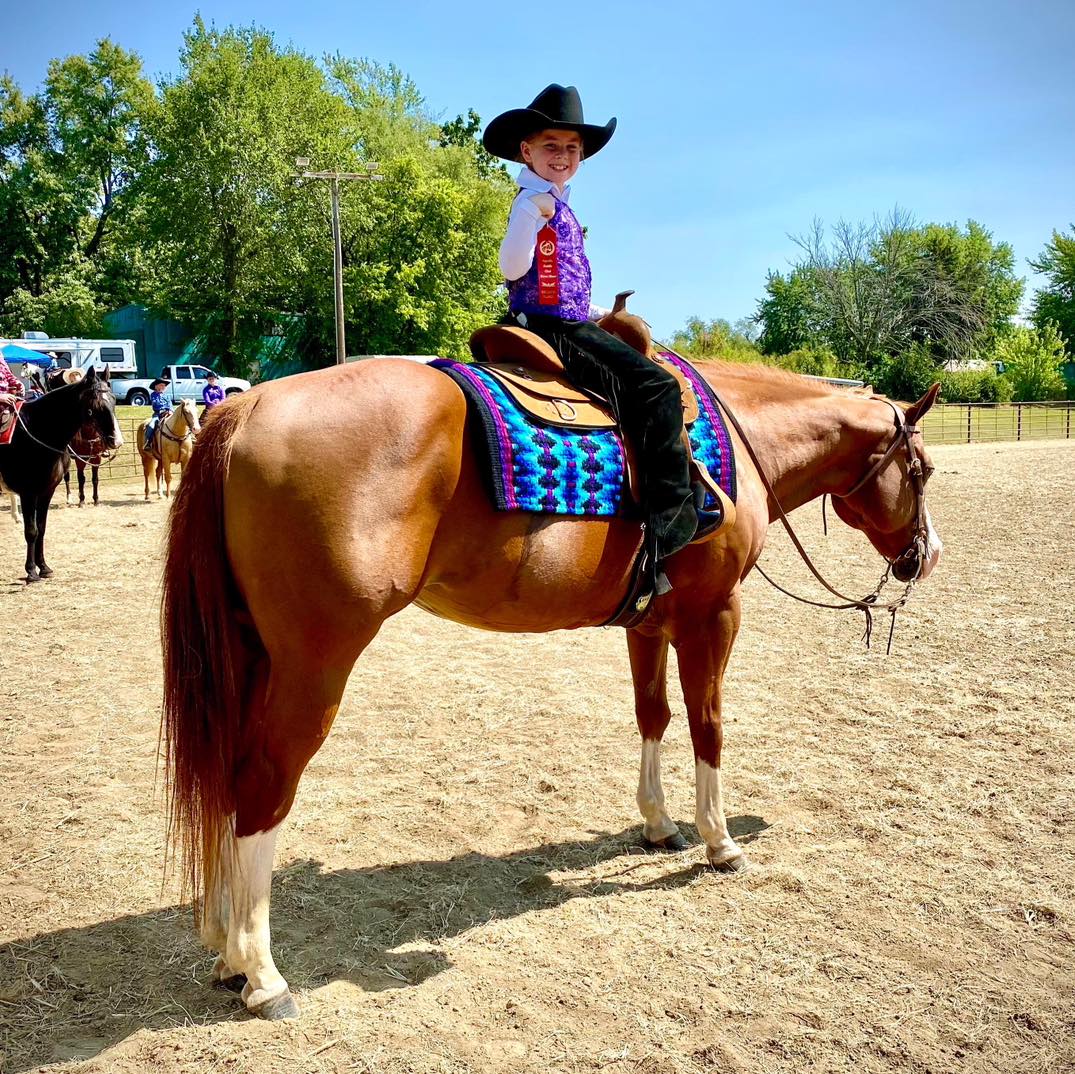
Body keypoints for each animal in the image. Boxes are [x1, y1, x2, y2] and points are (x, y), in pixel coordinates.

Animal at [0, 367, 123, 581]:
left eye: (114, 399)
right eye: (94, 404)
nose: (116, 441)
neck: (38, 432)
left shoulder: (46, 491)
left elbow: (41, 528)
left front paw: (44, 567)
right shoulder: (28, 492)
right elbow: (31, 530)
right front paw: (31, 571)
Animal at [160, 334, 942, 1020]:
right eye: (923, 470)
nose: (927, 556)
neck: (736, 440)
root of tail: (246, 408)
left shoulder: (647, 624)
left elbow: (653, 715)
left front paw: (659, 825)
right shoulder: (714, 616)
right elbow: (708, 724)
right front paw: (719, 841)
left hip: (251, 655)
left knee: (227, 776)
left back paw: (224, 949)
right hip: (313, 665)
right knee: (263, 784)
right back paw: (262, 974)